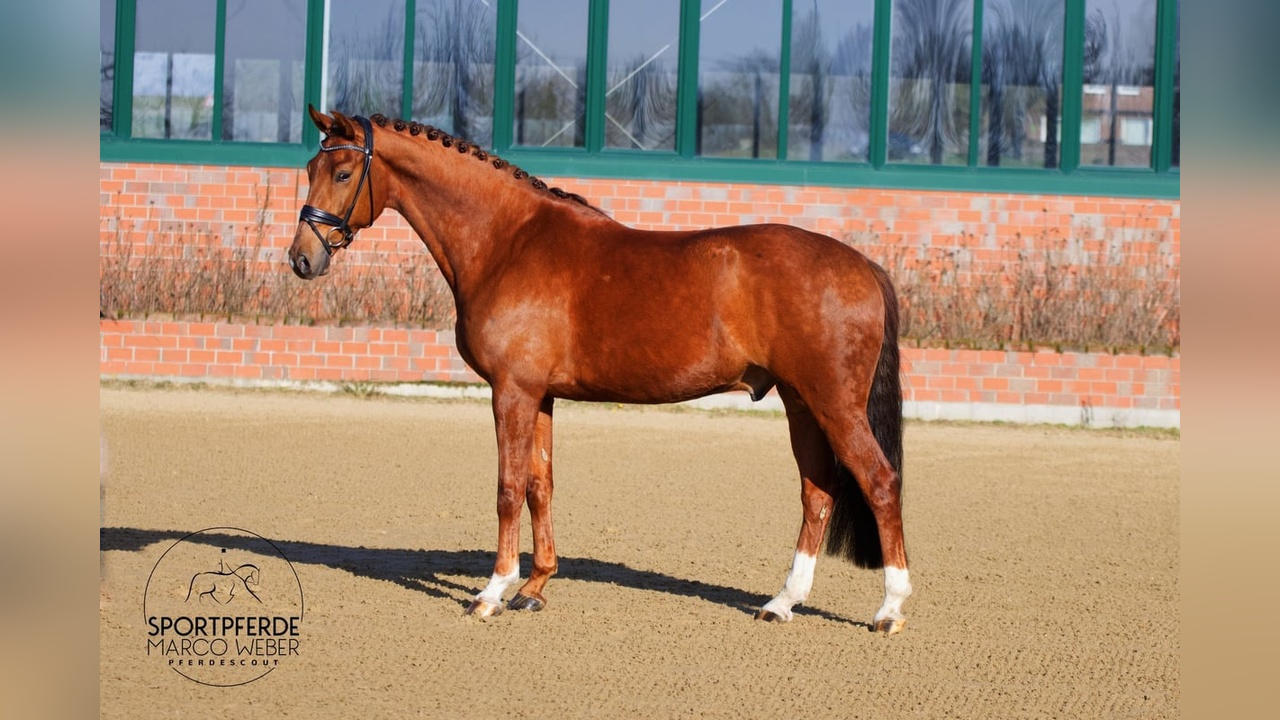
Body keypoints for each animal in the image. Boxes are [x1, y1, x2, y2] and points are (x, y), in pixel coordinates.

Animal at [289, 106, 912, 633]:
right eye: (311, 167)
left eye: (342, 172)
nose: (302, 258)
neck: (508, 240)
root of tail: (862, 264)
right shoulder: (538, 395)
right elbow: (540, 484)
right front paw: (534, 586)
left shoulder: (511, 392)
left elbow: (508, 487)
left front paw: (492, 592)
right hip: (801, 402)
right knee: (817, 493)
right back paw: (782, 603)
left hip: (833, 404)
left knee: (879, 483)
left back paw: (889, 609)